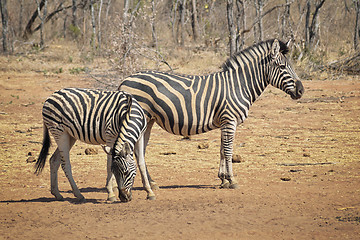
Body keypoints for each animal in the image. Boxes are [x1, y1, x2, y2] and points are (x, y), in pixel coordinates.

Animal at [119, 38, 306, 195]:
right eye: (282, 67)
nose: (301, 91)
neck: (239, 85)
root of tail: (125, 80)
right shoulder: (230, 119)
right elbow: (229, 150)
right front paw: (232, 180)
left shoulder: (225, 121)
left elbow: (223, 149)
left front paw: (223, 179)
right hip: (139, 118)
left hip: (148, 120)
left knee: (139, 151)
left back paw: (152, 183)